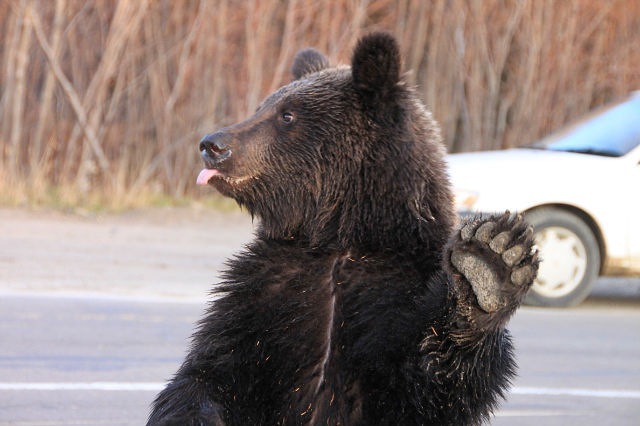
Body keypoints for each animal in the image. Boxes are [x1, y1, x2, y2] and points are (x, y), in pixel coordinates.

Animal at [148, 32, 536, 426]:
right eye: (262, 107)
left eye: (287, 114)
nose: (213, 144)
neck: (341, 237)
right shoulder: (263, 295)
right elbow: (209, 375)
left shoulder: (397, 296)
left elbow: (429, 380)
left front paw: (488, 265)